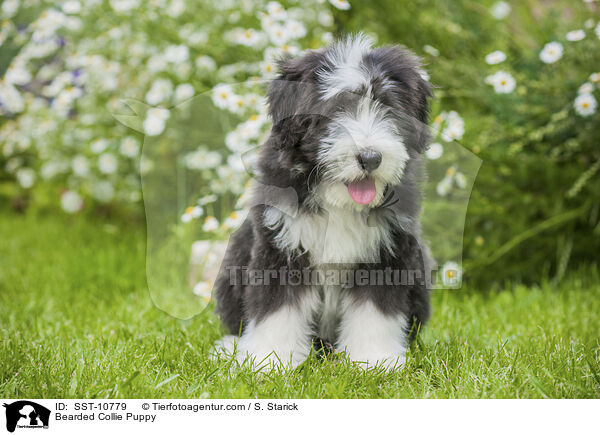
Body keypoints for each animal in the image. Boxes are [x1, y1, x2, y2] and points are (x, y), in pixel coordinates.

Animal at [213, 33, 434, 372]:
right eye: (337, 108)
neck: (338, 200)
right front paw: (269, 360)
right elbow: (277, 306)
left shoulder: (388, 251)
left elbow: (375, 310)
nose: (371, 157)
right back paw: (230, 347)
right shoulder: (281, 244)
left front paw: (373, 361)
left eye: (389, 108)